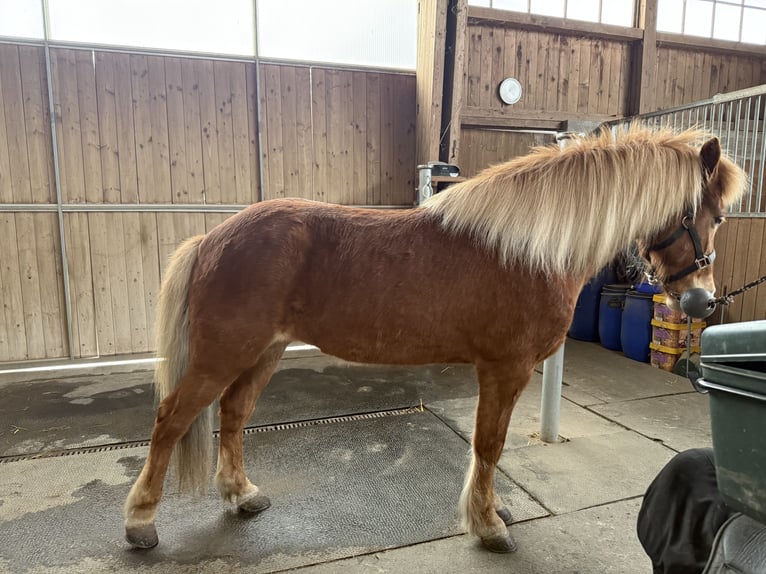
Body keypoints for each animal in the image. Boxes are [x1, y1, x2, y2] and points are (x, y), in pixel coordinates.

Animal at [124, 125, 746, 554]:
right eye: (713, 216)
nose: (702, 301)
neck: (529, 248)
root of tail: (212, 238)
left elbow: (488, 446)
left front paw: (488, 515)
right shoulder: (505, 369)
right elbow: (489, 446)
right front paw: (489, 526)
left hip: (262, 353)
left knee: (233, 414)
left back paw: (242, 495)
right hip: (222, 355)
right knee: (172, 420)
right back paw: (140, 522)